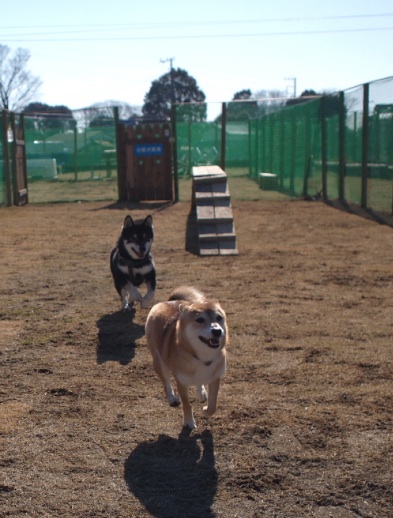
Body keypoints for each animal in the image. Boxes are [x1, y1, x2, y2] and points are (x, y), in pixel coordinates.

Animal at [145, 286, 228, 428]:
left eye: (219, 318)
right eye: (199, 320)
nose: (217, 331)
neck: (201, 358)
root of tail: (169, 301)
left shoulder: (215, 378)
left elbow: (213, 405)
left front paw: (206, 411)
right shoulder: (182, 383)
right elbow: (187, 404)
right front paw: (189, 422)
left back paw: (201, 393)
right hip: (159, 362)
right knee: (166, 382)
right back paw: (172, 398)